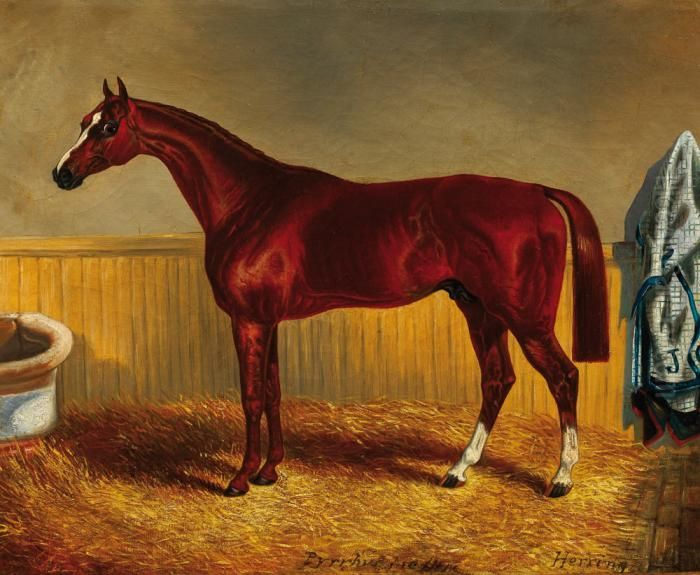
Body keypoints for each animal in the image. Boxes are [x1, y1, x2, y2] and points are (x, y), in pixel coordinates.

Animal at [53, 78, 609, 498]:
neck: (250, 201)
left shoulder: (249, 321)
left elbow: (251, 397)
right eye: (82, 122)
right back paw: (457, 470)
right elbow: (274, 393)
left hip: (524, 317)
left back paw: (560, 479)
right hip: (481, 311)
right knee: (497, 380)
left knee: (563, 376)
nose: (62, 173)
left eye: (108, 126)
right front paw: (270, 471)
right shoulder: (269, 321)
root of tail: (535, 192)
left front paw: (239, 479)